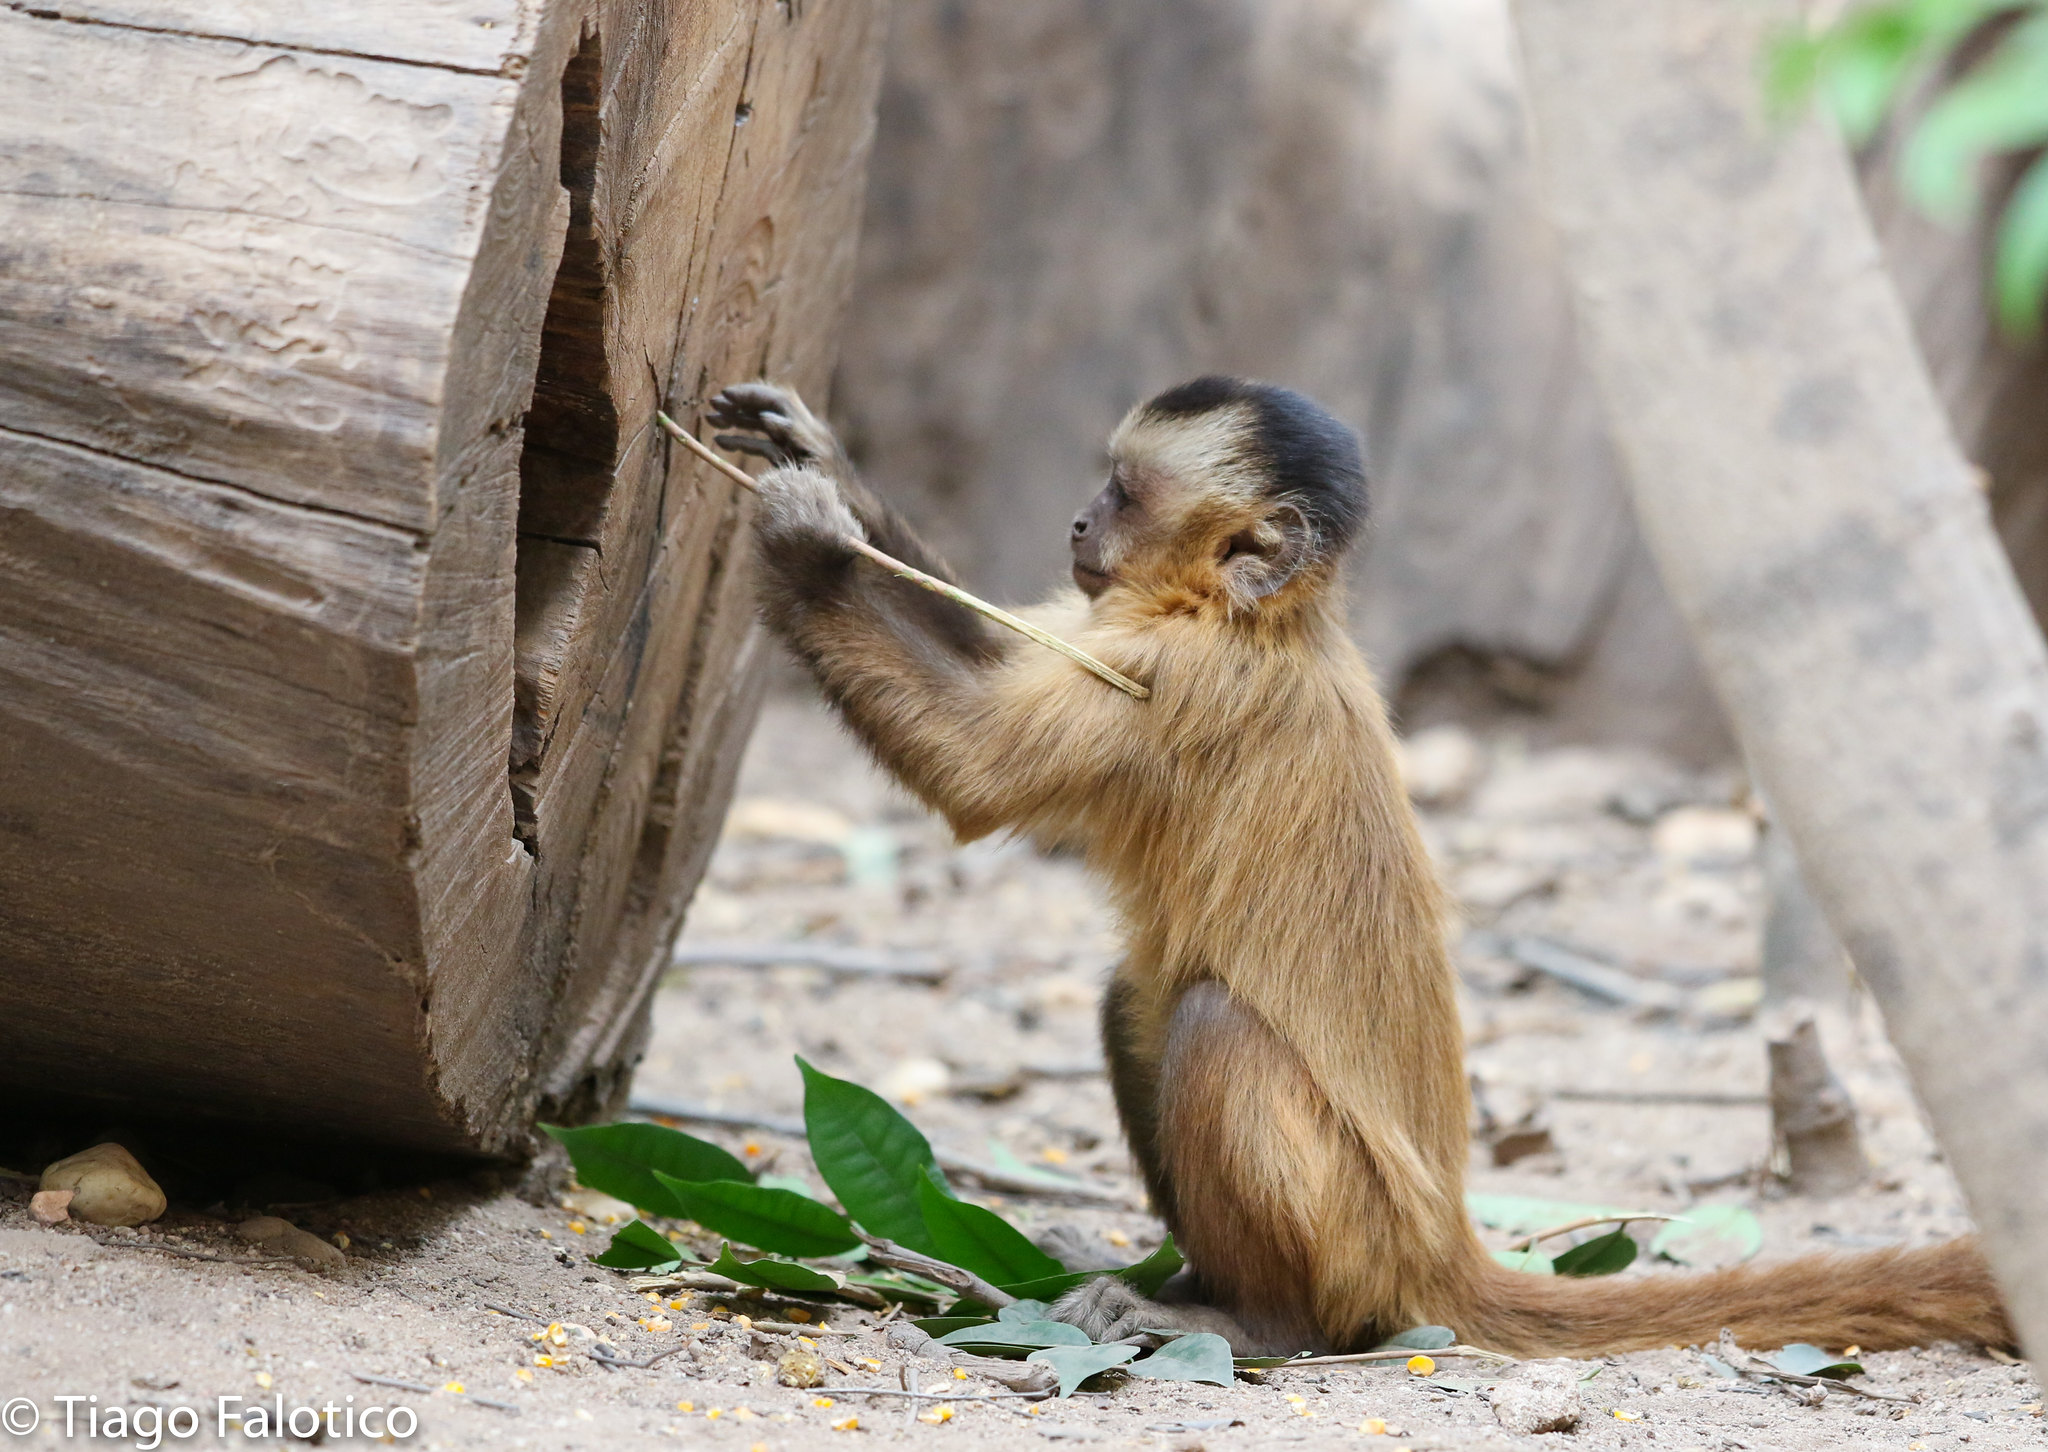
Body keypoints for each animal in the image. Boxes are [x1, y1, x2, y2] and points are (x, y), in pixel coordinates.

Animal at [708, 374, 2015, 1359]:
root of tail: (1440, 1250)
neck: (1260, 619)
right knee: (1132, 1004)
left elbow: (977, 777)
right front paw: (828, 462)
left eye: (1122, 491)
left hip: (1351, 1232)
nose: (1077, 525)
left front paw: (804, 547)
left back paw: (1259, 1323)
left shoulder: (1182, 677)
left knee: (1206, 1026)